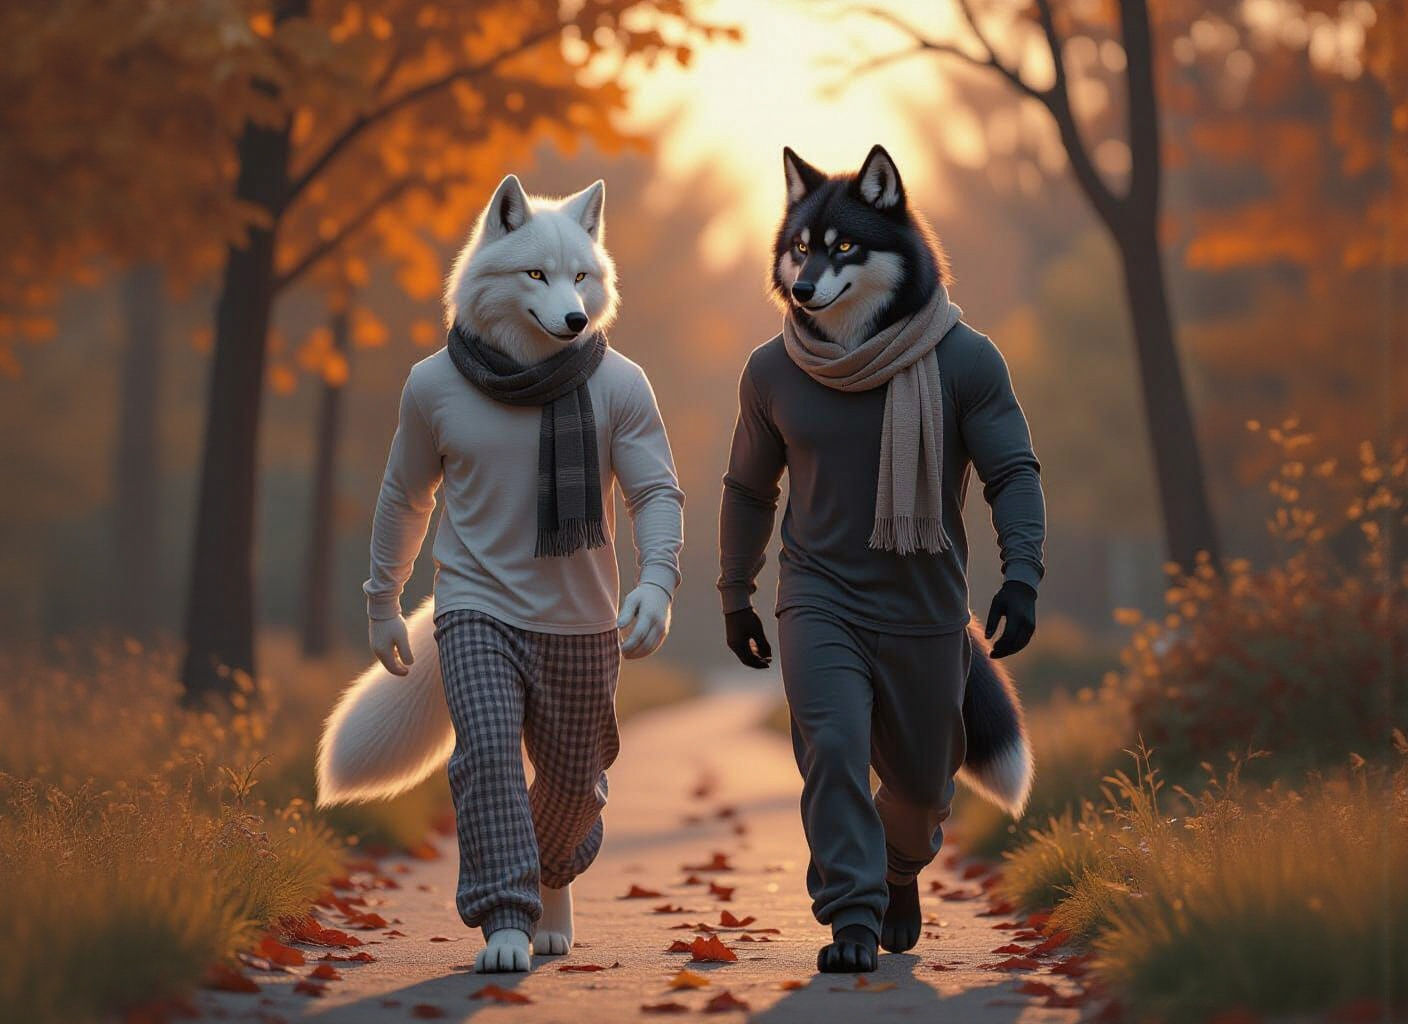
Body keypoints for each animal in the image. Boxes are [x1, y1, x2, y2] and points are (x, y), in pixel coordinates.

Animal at [320, 174, 684, 973]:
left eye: (579, 276)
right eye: (536, 275)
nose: (576, 321)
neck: (526, 377)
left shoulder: (637, 407)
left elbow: (654, 494)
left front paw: (648, 609)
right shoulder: (416, 419)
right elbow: (402, 498)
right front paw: (502, 936)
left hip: (580, 704)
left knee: (571, 794)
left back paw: (551, 923)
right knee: (526, 783)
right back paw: (521, 933)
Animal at [719, 144, 1043, 971]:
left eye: (844, 246)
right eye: (802, 246)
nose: (802, 288)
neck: (854, 353)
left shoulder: (984, 372)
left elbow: (1011, 471)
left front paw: (1020, 600)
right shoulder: (758, 390)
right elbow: (749, 485)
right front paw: (849, 933)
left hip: (930, 692)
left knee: (921, 794)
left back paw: (896, 910)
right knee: (887, 787)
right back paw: (872, 924)